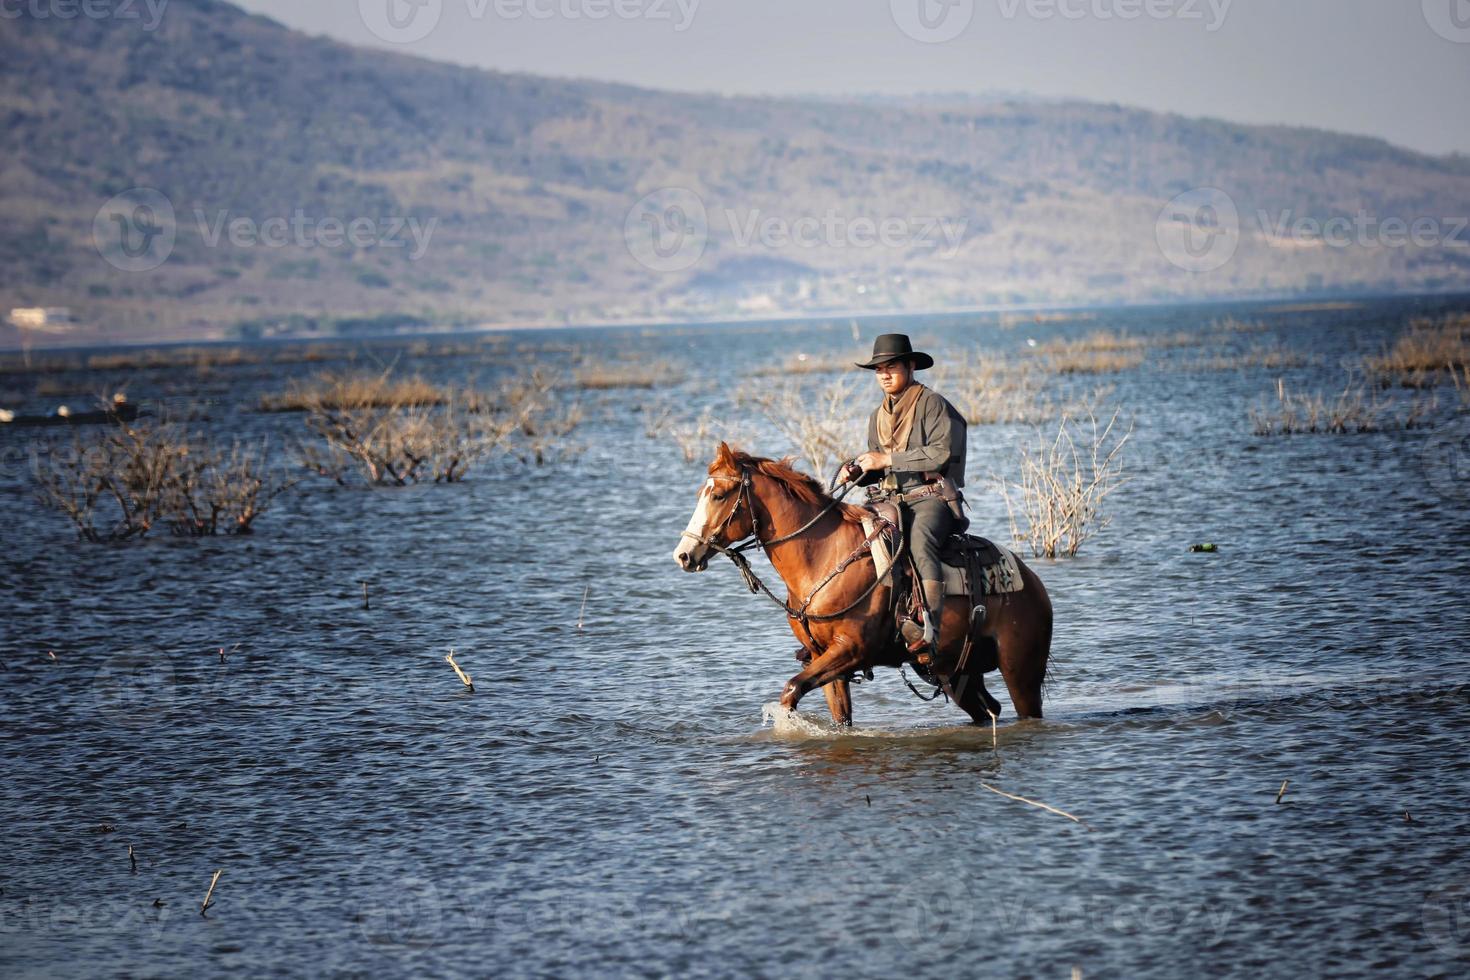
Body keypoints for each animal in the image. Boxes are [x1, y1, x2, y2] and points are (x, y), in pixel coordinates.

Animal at [673, 443, 1052, 728]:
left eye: (719, 495)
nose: (684, 554)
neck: (824, 557)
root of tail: (1033, 582)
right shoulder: (824, 658)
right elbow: (836, 715)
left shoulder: (851, 649)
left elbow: (791, 690)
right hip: (957, 674)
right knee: (988, 709)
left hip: (1021, 672)